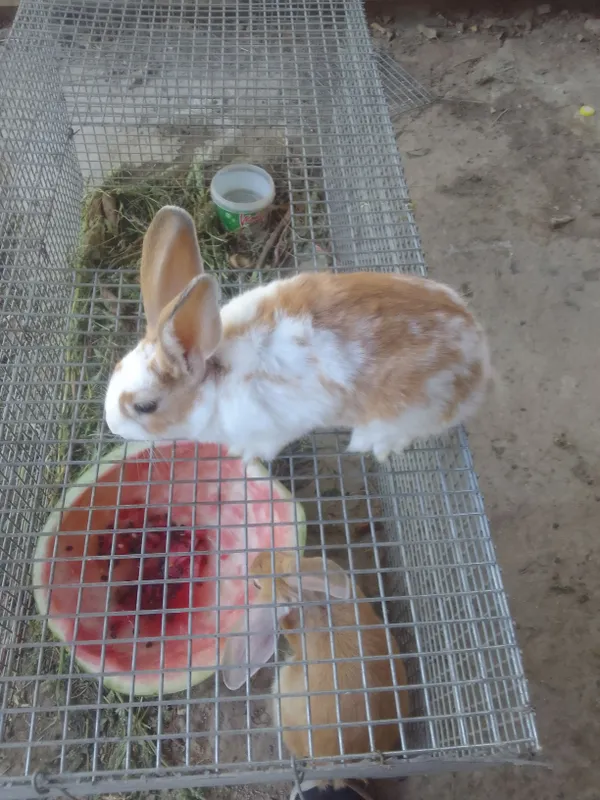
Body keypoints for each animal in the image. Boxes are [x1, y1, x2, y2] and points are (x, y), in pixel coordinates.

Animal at [104, 205, 491, 463]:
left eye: (145, 406)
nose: (112, 426)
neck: (215, 374)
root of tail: (479, 358)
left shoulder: (273, 426)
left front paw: (242, 454)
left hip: (411, 407)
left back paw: (371, 444)